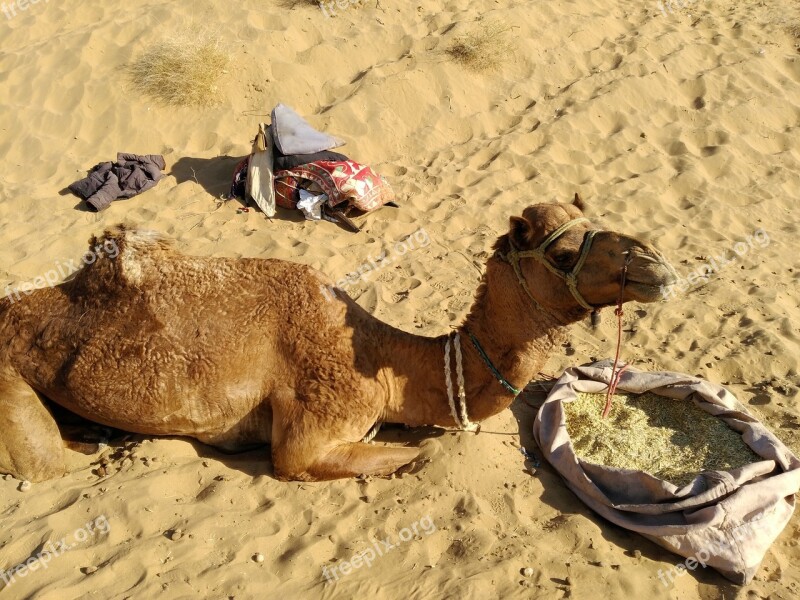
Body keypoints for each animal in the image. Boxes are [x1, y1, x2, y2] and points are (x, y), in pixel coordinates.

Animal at [0, 202, 676, 482]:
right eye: (563, 251)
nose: (656, 264)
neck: (390, 367)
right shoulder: (313, 427)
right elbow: (404, 457)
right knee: (44, 467)